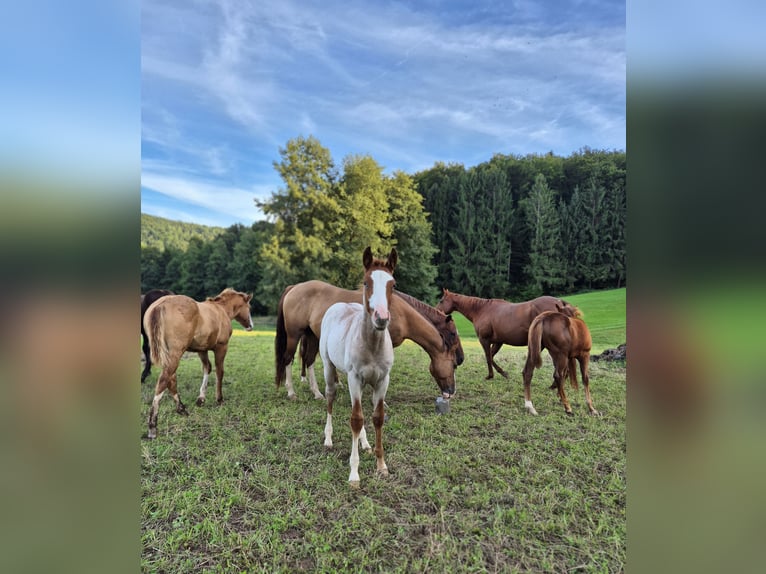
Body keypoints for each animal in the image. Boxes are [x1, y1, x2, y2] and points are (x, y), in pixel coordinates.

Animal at [143, 288, 253, 439]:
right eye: (249, 307)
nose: (250, 326)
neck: (221, 310)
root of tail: (160, 305)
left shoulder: (202, 349)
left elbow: (207, 368)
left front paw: (201, 399)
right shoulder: (222, 347)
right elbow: (219, 371)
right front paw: (219, 399)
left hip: (169, 353)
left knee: (171, 379)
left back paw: (181, 409)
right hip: (176, 352)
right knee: (164, 380)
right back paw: (153, 426)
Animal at [275, 283, 460, 401]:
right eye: (454, 365)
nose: (451, 392)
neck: (402, 314)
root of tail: (294, 288)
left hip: (312, 335)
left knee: (309, 360)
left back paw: (317, 393)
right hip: (294, 335)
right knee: (288, 359)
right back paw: (291, 393)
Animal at [320, 247, 396, 487]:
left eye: (393, 284)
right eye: (365, 282)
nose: (381, 318)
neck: (372, 345)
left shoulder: (382, 380)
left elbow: (377, 417)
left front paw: (381, 466)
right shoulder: (353, 377)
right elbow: (356, 419)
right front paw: (354, 473)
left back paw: (365, 444)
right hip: (328, 367)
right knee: (330, 397)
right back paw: (328, 439)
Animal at [436, 288, 575, 380]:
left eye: (441, 300)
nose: (437, 311)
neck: (481, 310)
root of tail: (559, 303)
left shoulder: (484, 340)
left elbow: (488, 357)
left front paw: (490, 375)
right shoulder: (498, 342)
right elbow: (491, 356)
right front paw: (503, 373)